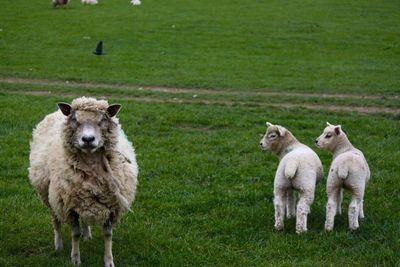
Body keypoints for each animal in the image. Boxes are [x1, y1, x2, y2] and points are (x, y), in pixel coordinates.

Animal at [28, 97, 138, 266]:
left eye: (103, 119)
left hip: (85, 200)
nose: (88, 139)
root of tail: (56, 112)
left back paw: (87, 235)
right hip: (50, 196)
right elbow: (75, 234)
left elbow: (108, 235)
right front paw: (75, 258)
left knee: (84, 219)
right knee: (55, 220)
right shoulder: (69, 206)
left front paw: (109, 260)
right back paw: (58, 244)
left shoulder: (110, 204)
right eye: (74, 119)